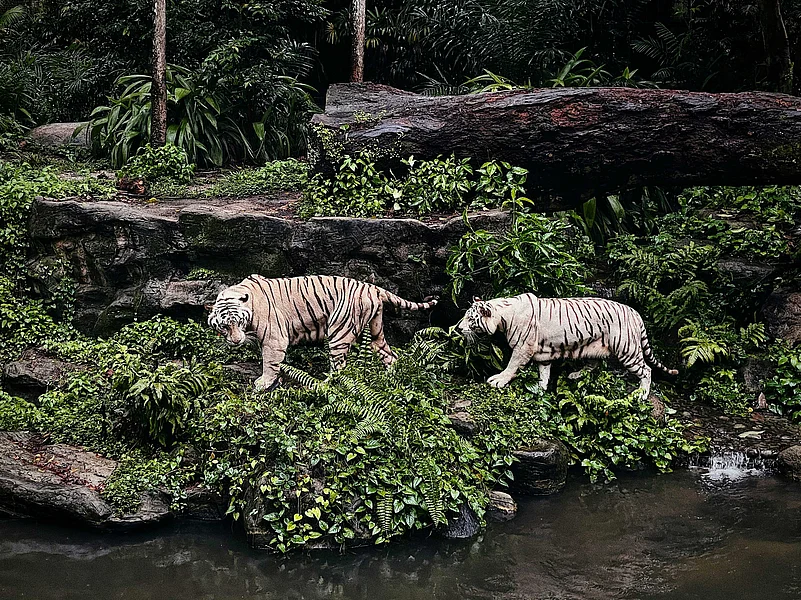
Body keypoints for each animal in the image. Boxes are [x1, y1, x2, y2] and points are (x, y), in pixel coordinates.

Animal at [208, 274, 438, 390]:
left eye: (238, 322)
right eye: (224, 326)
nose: (236, 342)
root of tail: (373, 287)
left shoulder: (274, 339)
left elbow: (270, 362)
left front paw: (263, 383)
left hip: (339, 332)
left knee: (340, 368)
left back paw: (321, 385)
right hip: (375, 331)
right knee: (389, 355)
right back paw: (391, 377)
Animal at [456, 293, 678, 397]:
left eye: (470, 318)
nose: (457, 328)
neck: (503, 315)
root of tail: (635, 312)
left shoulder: (522, 348)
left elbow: (512, 365)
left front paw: (498, 380)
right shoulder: (542, 353)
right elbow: (544, 372)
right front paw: (541, 389)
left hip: (627, 349)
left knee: (647, 370)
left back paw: (642, 394)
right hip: (594, 346)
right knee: (594, 365)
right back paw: (575, 375)